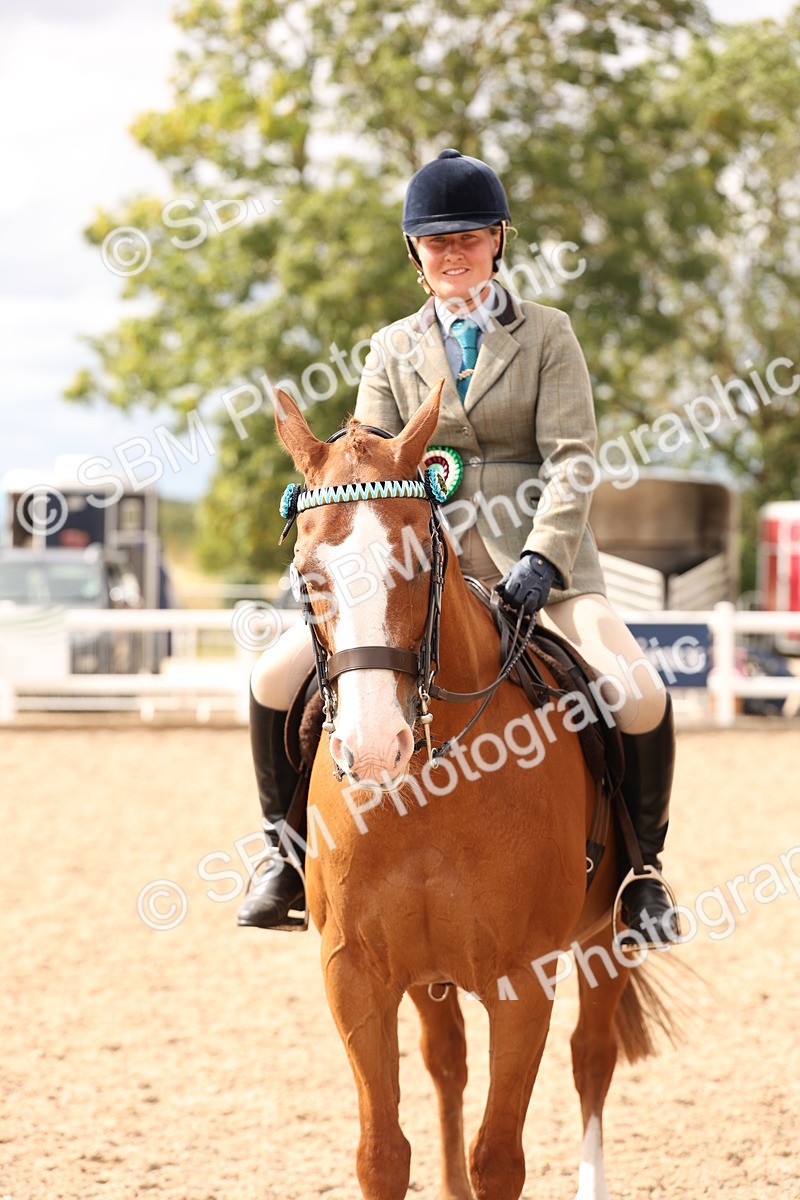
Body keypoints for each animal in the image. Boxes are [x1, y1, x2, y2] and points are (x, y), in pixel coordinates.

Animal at [272, 381, 672, 1200]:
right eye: (307, 573)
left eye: (420, 559)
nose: (374, 749)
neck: (427, 790)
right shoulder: (353, 972)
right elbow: (382, 1154)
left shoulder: (523, 980)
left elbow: (499, 1158)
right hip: (429, 974)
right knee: (447, 1062)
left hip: (609, 938)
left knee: (592, 1058)